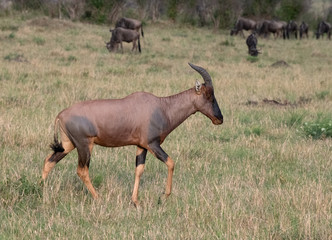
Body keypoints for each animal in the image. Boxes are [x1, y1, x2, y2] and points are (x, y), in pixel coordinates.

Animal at [41, 62, 223, 205]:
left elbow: (139, 170)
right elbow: (171, 162)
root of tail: (61, 115)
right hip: (85, 145)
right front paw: (164, 196)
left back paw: (40, 189)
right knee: (82, 170)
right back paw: (98, 198)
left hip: (68, 144)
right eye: (208, 95)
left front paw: (135, 201)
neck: (161, 107)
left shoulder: (141, 146)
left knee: (49, 161)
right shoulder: (152, 144)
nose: (219, 119)